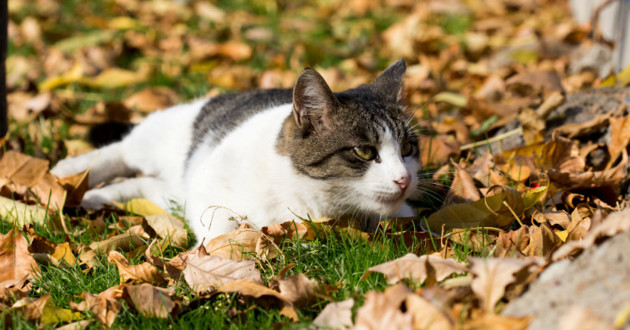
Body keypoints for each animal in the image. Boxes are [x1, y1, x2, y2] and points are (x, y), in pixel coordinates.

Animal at [51, 60, 422, 245]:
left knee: (138, 185)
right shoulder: (207, 184)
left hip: (169, 192)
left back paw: (91, 198)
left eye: (407, 149)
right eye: (364, 151)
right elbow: (217, 225)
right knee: (122, 150)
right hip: (160, 136)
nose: (404, 179)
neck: (311, 203)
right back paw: (67, 174)